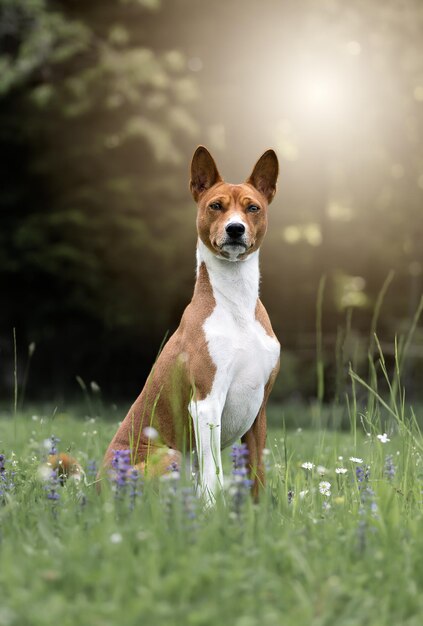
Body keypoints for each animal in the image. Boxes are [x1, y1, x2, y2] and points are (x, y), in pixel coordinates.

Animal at [102, 146, 282, 502]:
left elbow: (257, 473)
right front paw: (214, 510)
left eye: (252, 207)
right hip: (170, 454)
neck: (237, 305)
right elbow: (214, 476)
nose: (235, 229)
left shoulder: (259, 409)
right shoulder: (206, 402)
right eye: (216, 206)